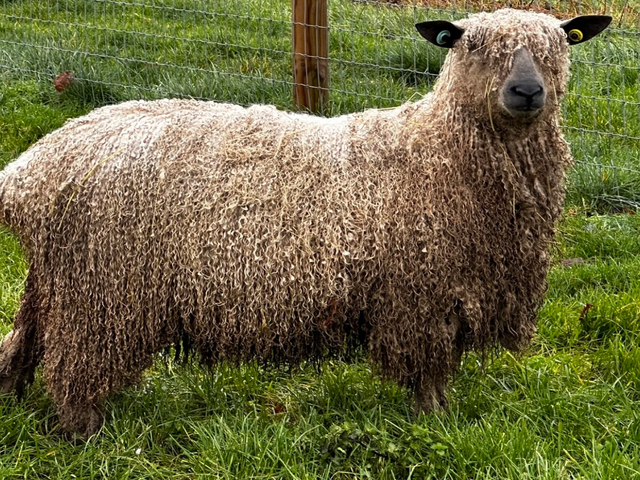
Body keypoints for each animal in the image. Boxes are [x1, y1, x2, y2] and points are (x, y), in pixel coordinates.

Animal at [0, 9, 611, 437]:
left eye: (559, 46)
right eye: (473, 46)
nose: (527, 91)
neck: (435, 148)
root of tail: (27, 170)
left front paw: (441, 419)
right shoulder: (419, 295)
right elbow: (429, 372)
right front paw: (435, 423)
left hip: (57, 281)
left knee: (22, 341)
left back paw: (11, 399)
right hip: (101, 294)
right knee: (75, 370)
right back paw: (86, 434)